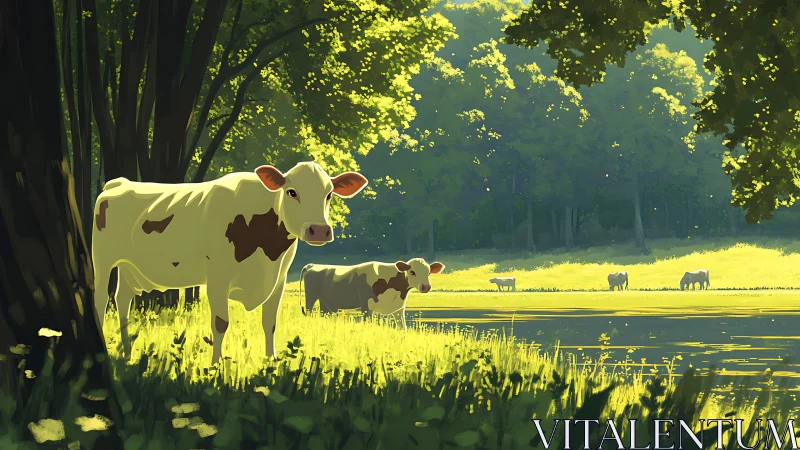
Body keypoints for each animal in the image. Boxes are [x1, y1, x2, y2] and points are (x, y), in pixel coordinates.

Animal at [92, 162, 368, 365]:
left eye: (329, 194)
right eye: (292, 192)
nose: (319, 230)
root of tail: (119, 182)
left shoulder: (279, 278)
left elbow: (270, 321)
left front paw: (271, 360)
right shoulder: (218, 276)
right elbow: (220, 322)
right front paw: (215, 365)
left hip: (128, 265)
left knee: (123, 299)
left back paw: (127, 353)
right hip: (103, 259)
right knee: (101, 299)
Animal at [298, 259, 445, 329]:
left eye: (428, 272)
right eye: (412, 272)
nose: (426, 286)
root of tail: (313, 265)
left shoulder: (398, 309)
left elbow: (402, 328)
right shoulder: (366, 306)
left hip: (325, 302)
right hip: (310, 298)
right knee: (309, 313)